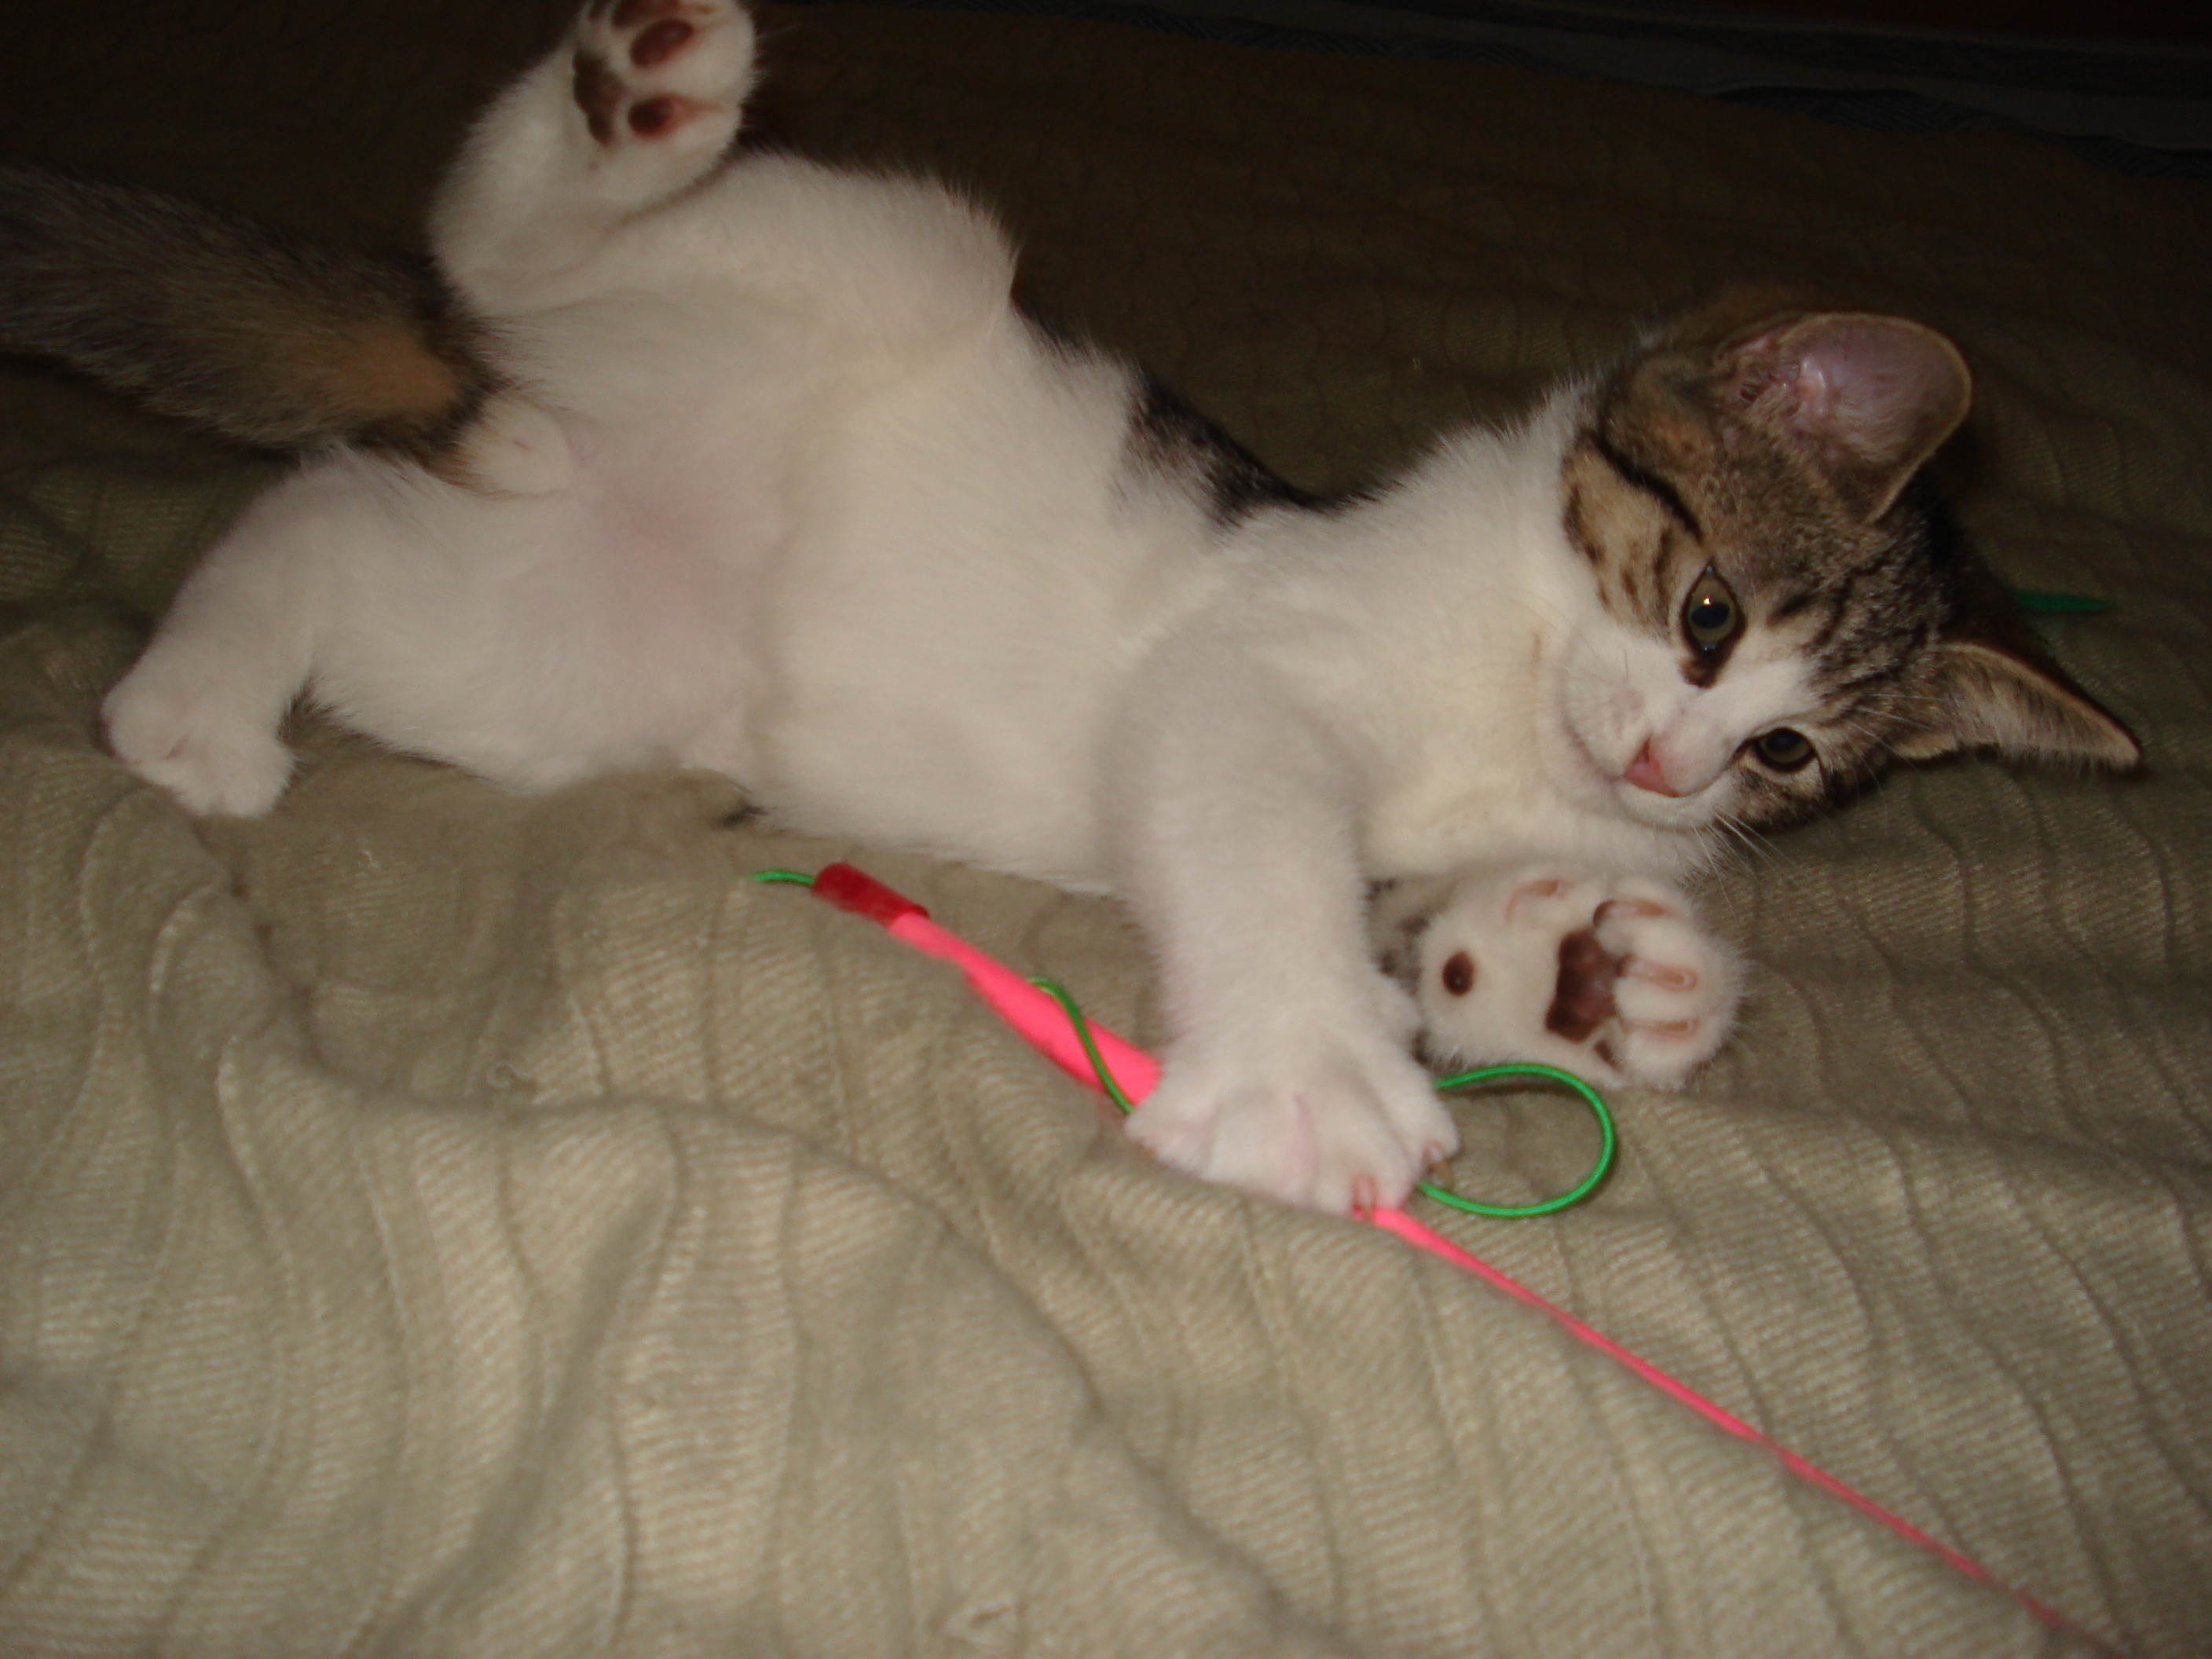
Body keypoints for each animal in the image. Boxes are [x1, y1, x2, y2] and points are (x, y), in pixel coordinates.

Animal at [4, 0, 2137, 1212]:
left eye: (1783, 751)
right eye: (1703, 609)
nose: (1670, 767)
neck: (1516, 680)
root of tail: (552, 415)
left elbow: (1437, 923)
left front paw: (1607, 978)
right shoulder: (1250, 663)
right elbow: (1257, 829)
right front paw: (1299, 1071)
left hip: (561, 655)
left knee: (331, 521)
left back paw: (196, 701)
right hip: (871, 262)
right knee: (498, 243)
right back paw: (632, 110)